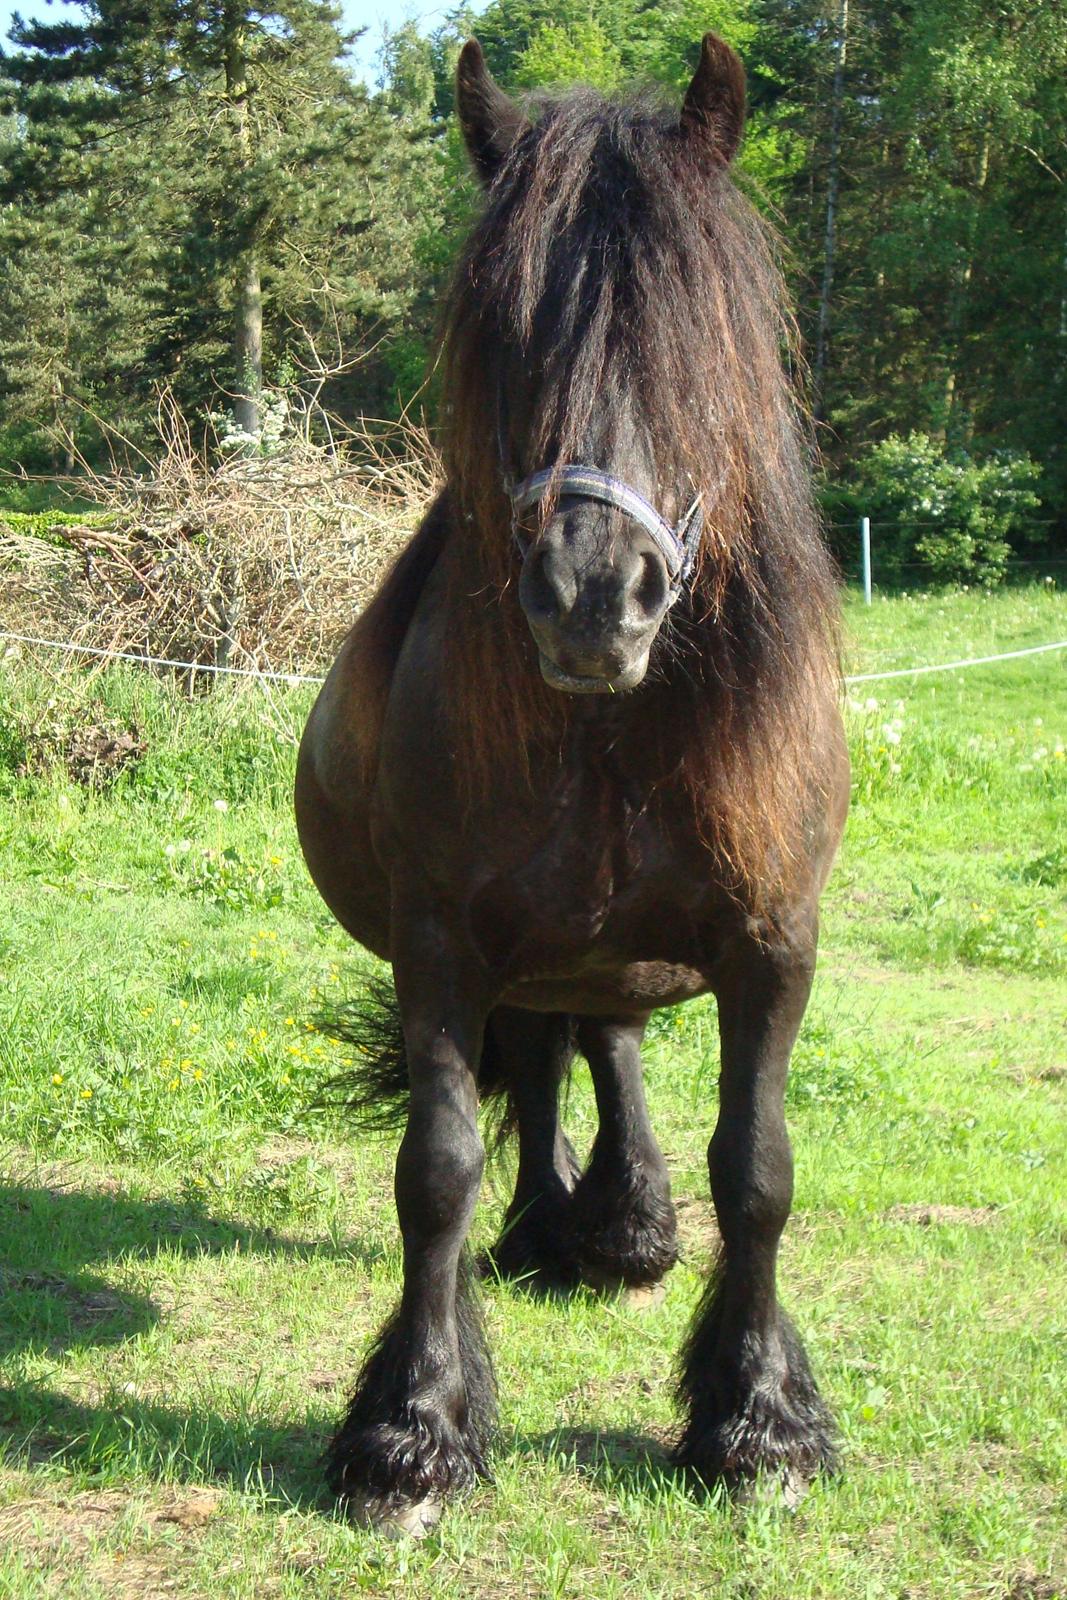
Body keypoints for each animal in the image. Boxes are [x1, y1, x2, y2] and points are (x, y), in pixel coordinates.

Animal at [295, 33, 849, 1535]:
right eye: (503, 335)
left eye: (685, 335)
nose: (593, 598)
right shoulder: (438, 944)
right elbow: (433, 1171)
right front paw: (412, 1430)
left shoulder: (771, 947)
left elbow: (757, 1172)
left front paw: (756, 1422)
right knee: (554, 1048)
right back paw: (558, 1226)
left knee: (600, 1040)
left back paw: (620, 1229)